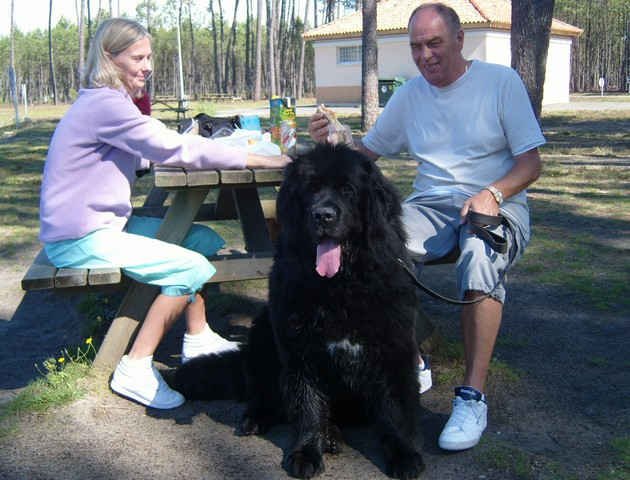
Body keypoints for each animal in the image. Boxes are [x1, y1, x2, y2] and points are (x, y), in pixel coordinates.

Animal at [175, 144, 428, 478]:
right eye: (310, 190)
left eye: (348, 190)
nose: (323, 215)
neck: (340, 287)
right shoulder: (299, 348)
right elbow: (306, 405)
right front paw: (306, 452)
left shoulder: (393, 345)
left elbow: (395, 407)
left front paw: (403, 454)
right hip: (264, 331)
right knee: (265, 392)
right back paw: (263, 419)